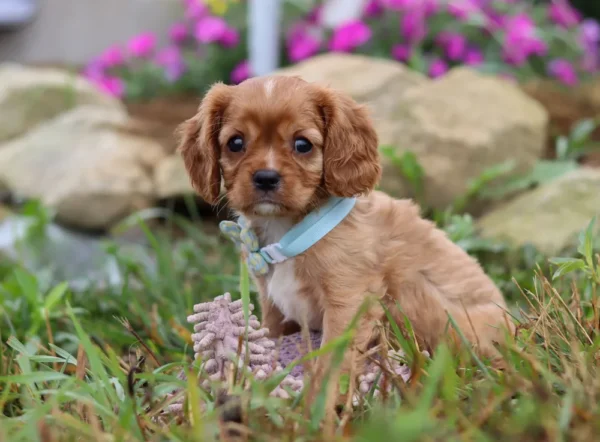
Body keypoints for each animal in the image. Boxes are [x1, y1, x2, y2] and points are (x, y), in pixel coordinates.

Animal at [177, 75, 514, 414]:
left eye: (302, 145)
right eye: (235, 143)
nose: (266, 177)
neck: (286, 232)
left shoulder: (348, 302)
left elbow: (331, 359)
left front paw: (318, 407)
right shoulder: (273, 304)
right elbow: (270, 338)